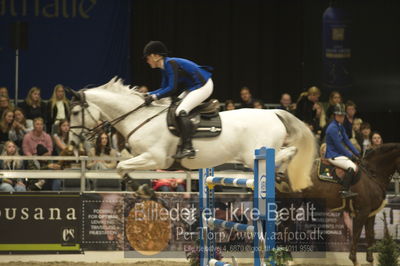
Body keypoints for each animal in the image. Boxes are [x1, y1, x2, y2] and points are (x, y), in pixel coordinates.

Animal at [70, 77, 318, 191]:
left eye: (74, 112)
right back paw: (281, 179)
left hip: (255, 155)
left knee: (287, 152)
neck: (139, 117)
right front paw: (143, 190)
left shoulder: (155, 158)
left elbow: (122, 167)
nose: (73, 142)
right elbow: (122, 168)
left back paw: (283, 176)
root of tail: (274, 112)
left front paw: (142, 192)